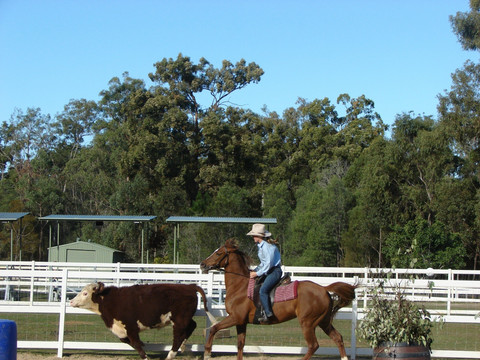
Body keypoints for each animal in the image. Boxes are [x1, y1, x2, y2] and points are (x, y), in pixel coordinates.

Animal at [69, 282, 216, 358]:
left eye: (85, 293)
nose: (71, 301)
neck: (110, 301)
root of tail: (189, 286)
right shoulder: (122, 331)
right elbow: (130, 342)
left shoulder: (131, 327)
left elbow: (136, 344)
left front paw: (145, 356)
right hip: (184, 319)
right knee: (192, 326)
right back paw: (183, 346)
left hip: (179, 320)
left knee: (178, 337)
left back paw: (171, 355)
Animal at [199, 238, 356, 358]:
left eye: (218, 253)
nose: (202, 264)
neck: (241, 286)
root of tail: (323, 289)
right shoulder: (241, 322)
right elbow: (240, 345)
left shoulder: (235, 317)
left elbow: (213, 328)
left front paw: (207, 352)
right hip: (323, 322)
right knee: (338, 338)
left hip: (308, 323)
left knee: (313, 345)